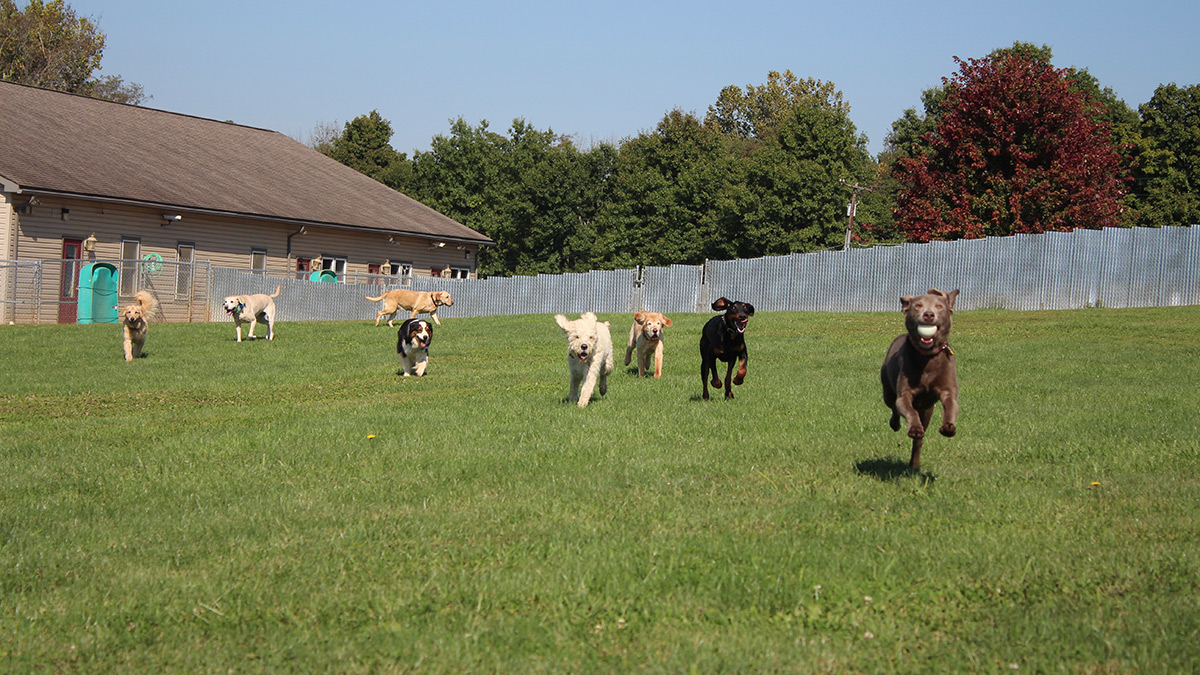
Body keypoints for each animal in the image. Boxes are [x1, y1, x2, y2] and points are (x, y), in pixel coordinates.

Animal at [878, 284, 960, 468]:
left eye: (939, 306)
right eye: (918, 306)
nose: (928, 314)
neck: (927, 357)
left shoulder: (948, 391)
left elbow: (951, 405)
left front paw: (948, 426)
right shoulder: (904, 395)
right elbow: (908, 410)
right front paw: (914, 428)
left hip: (928, 410)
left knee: (919, 442)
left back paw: (914, 464)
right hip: (888, 392)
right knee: (893, 407)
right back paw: (895, 424)